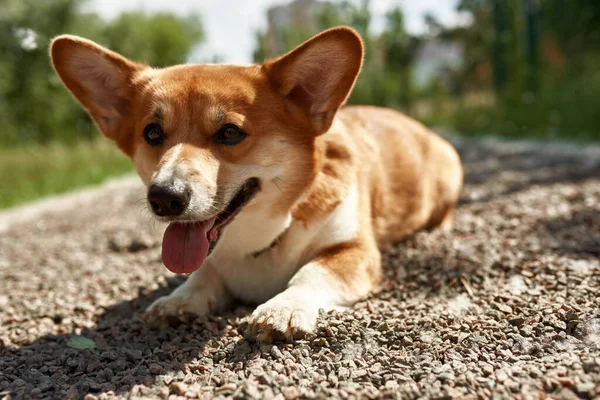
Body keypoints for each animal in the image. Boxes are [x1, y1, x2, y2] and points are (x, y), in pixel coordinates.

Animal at [50, 26, 464, 342]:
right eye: (152, 133)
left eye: (230, 132)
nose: (164, 198)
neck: (258, 239)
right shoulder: (210, 263)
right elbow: (201, 276)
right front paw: (177, 301)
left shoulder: (354, 250)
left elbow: (311, 272)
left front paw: (282, 308)